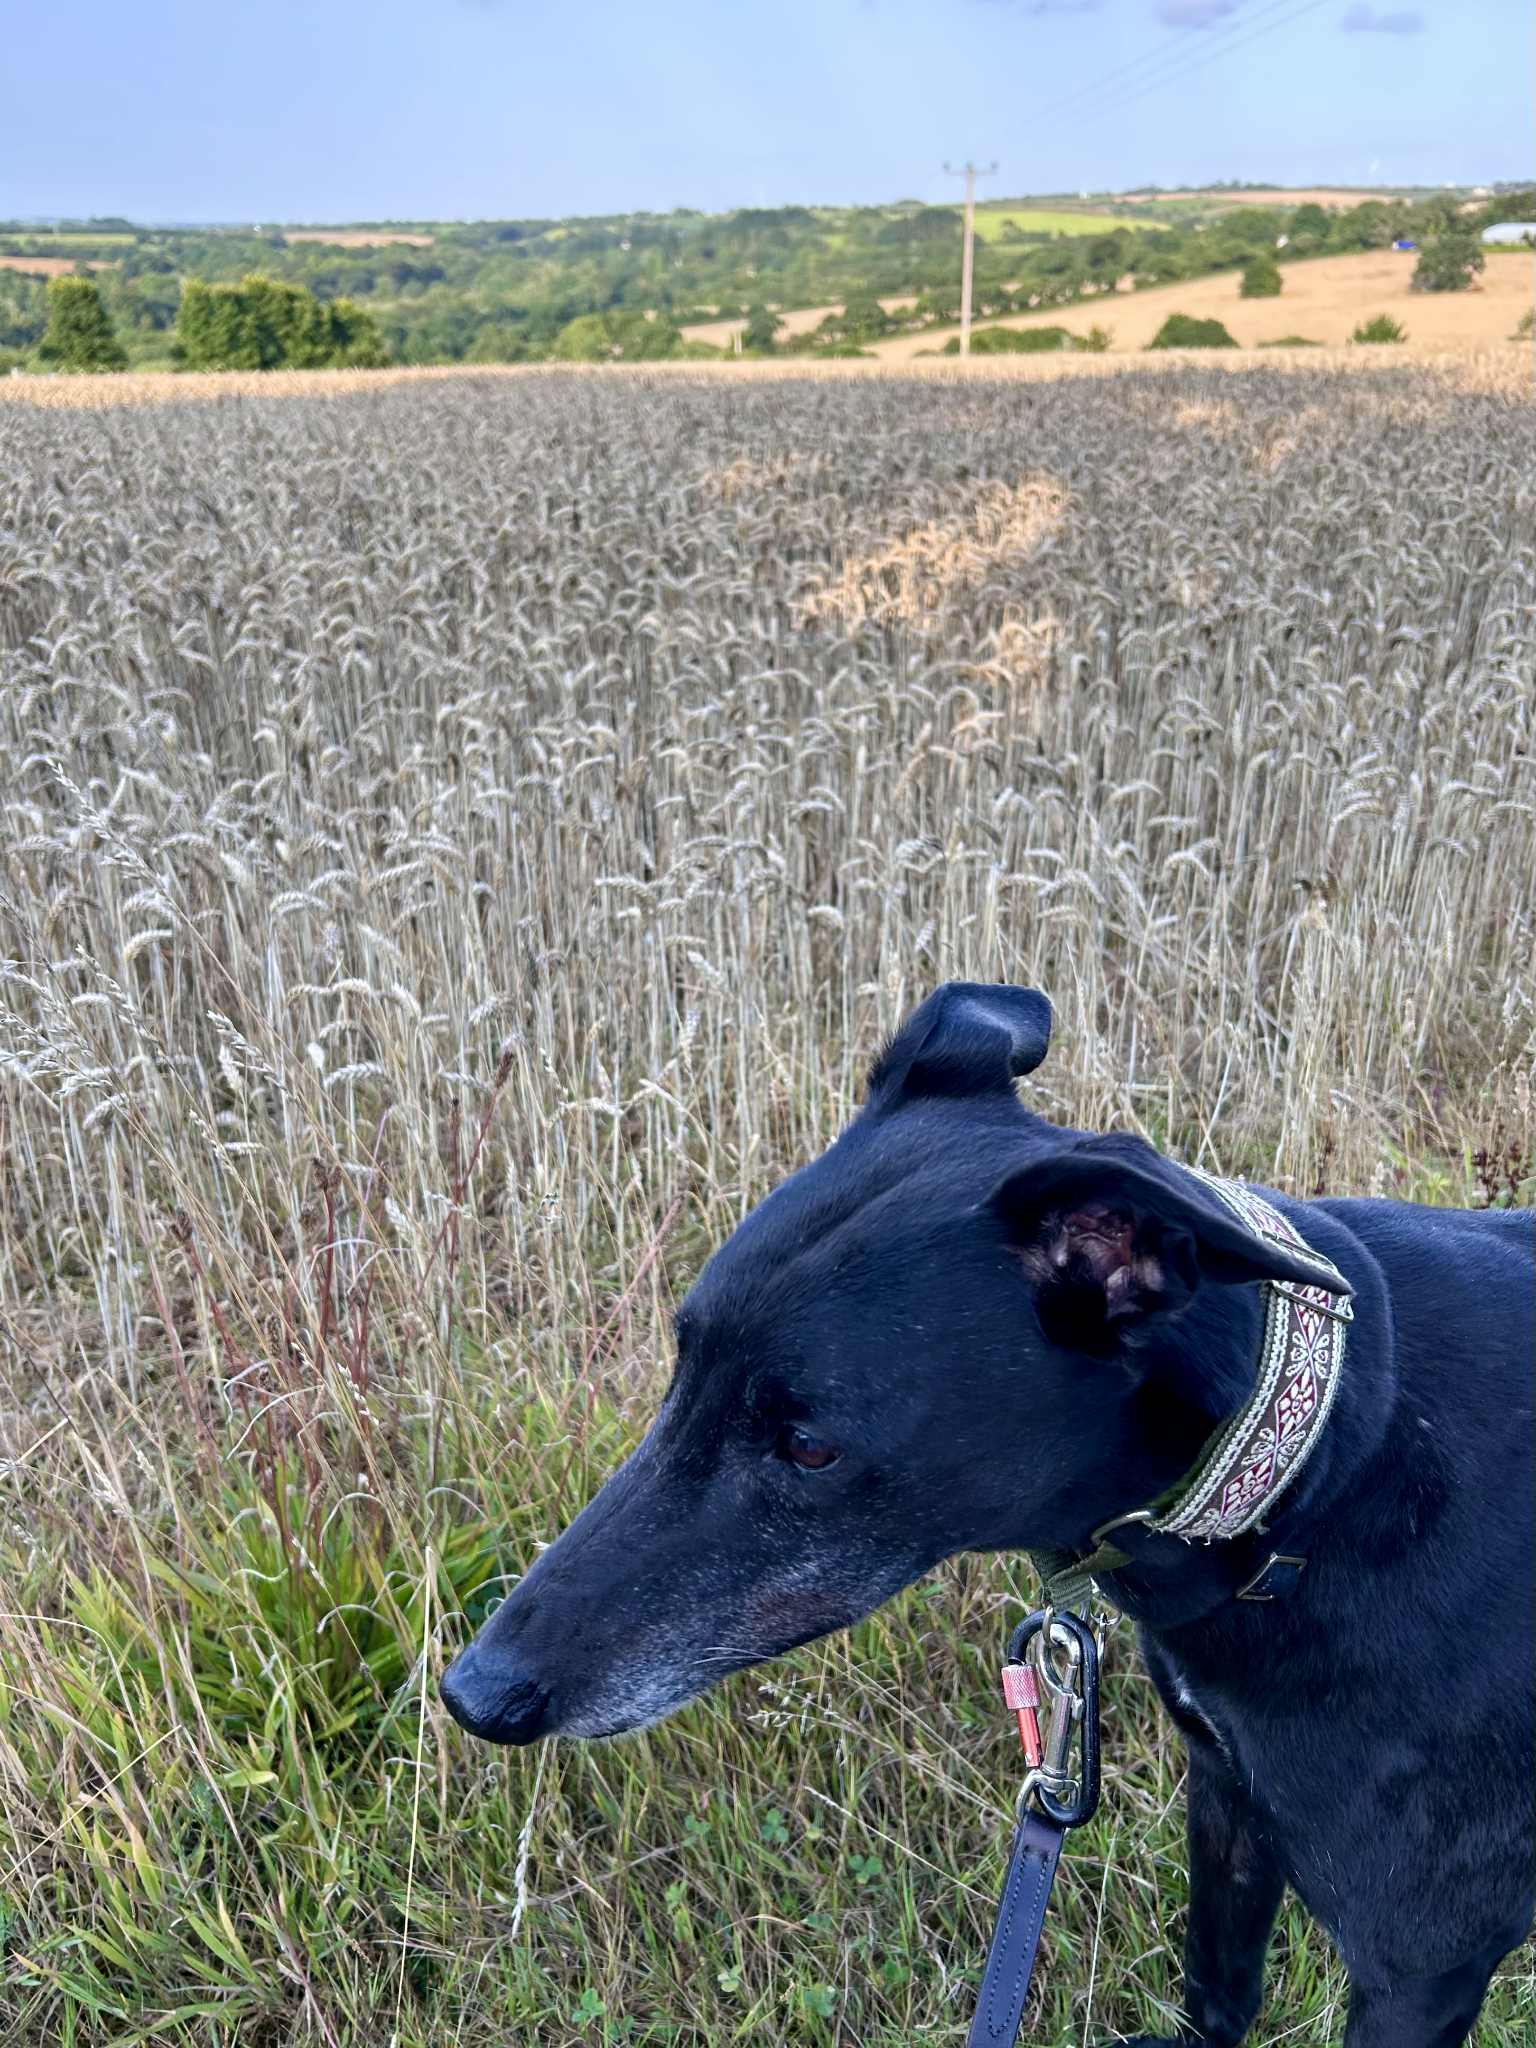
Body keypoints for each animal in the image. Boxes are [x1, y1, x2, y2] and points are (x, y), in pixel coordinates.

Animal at [441, 982, 1535, 2046]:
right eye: (683, 1359)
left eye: (809, 1445)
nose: (474, 1694)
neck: (1325, 1468)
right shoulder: (1225, 1791)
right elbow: (1218, 1987)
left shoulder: (1418, 1963)